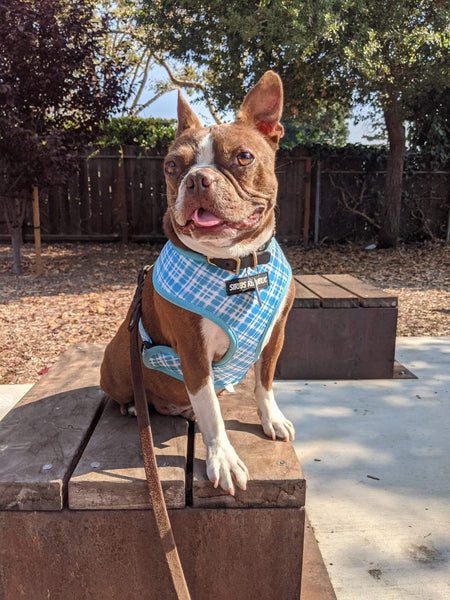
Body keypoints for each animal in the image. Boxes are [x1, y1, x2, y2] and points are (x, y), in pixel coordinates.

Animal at [102, 70, 298, 494]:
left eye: (243, 157)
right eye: (172, 166)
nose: (197, 179)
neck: (237, 264)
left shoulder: (276, 335)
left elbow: (265, 382)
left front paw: (271, 418)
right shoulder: (193, 352)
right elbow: (210, 411)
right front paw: (222, 458)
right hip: (118, 359)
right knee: (125, 394)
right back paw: (133, 405)